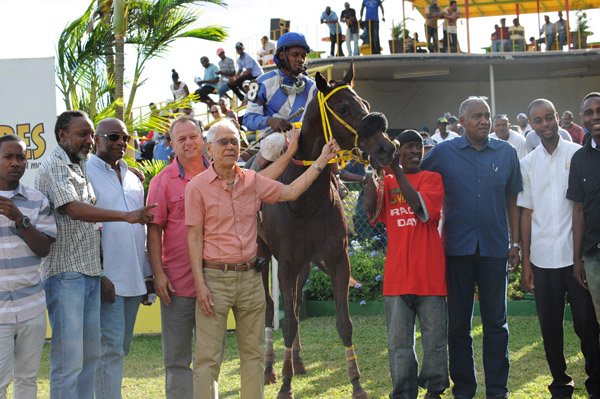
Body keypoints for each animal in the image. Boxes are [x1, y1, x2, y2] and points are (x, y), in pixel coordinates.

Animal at [258, 63, 396, 399]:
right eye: (344, 108)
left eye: (366, 104)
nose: (386, 147)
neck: (305, 201)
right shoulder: (286, 262)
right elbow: (288, 323)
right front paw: (285, 386)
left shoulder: (336, 259)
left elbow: (343, 323)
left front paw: (356, 383)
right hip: (263, 257)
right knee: (271, 308)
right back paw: (269, 369)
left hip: (305, 266)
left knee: (295, 305)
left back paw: (296, 362)